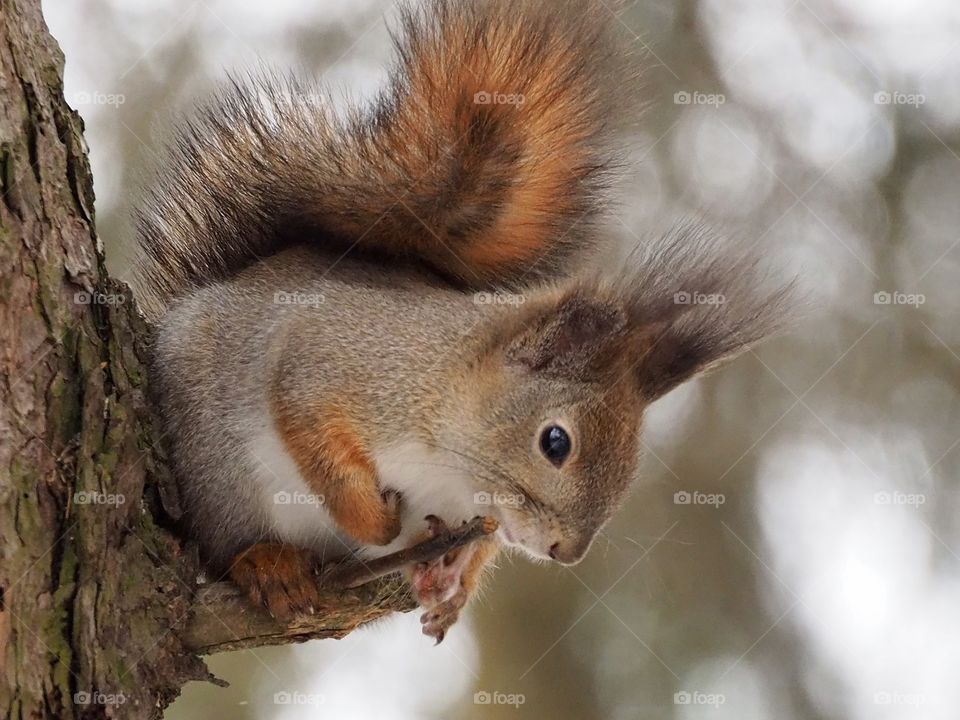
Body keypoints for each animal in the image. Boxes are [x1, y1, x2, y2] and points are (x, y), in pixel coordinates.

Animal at [134, 0, 792, 642]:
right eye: (556, 442)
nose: (567, 552)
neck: (452, 462)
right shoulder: (331, 360)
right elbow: (308, 425)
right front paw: (375, 520)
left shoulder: (476, 517)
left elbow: (476, 548)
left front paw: (449, 583)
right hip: (215, 464)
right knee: (225, 542)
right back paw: (267, 563)